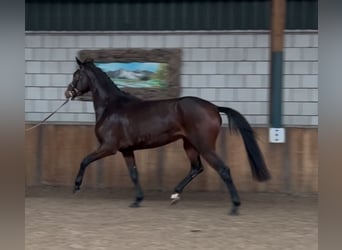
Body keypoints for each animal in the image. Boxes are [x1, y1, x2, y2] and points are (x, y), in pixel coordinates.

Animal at [65, 57, 272, 215]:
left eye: (76, 75)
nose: (68, 92)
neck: (112, 107)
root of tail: (213, 107)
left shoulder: (108, 147)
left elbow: (84, 160)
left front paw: (76, 186)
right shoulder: (126, 150)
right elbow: (134, 174)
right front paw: (137, 200)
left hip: (204, 146)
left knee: (223, 170)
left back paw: (234, 207)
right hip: (189, 145)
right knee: (196, 168)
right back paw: (175, 195)